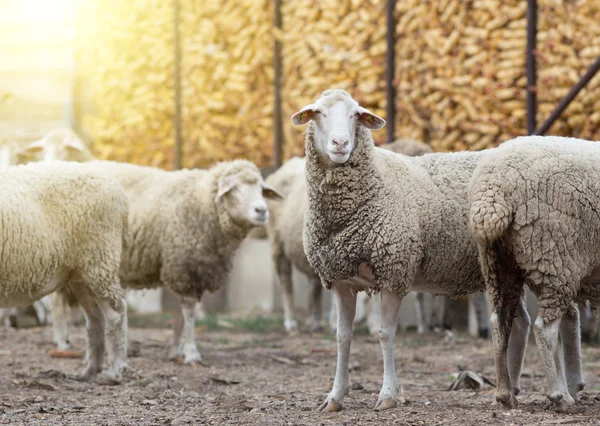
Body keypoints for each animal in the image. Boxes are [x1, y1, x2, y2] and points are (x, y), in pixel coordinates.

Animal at [0, 161, 129, 382]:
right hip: (80, 274)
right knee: (95, 317)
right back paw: (90, 370)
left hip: (99, 260)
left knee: (116, 313)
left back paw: (114, 371)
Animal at [290, 88, 528, 412]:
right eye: (318, 113)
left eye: (355, 115)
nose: (341, 144)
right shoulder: (340, 279)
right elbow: (342, 336)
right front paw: (335, 396)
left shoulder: (394, 270)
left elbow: (384, 333)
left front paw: (388, 394)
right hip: (512, 266)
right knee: (521, 323)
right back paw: (513, 389)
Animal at [468, 135, 600, 412]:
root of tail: (492, 192)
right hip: (556, 256)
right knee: (545, 329)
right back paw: (559, 396)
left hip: (500, 263)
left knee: (500, 322)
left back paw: (505, 394)